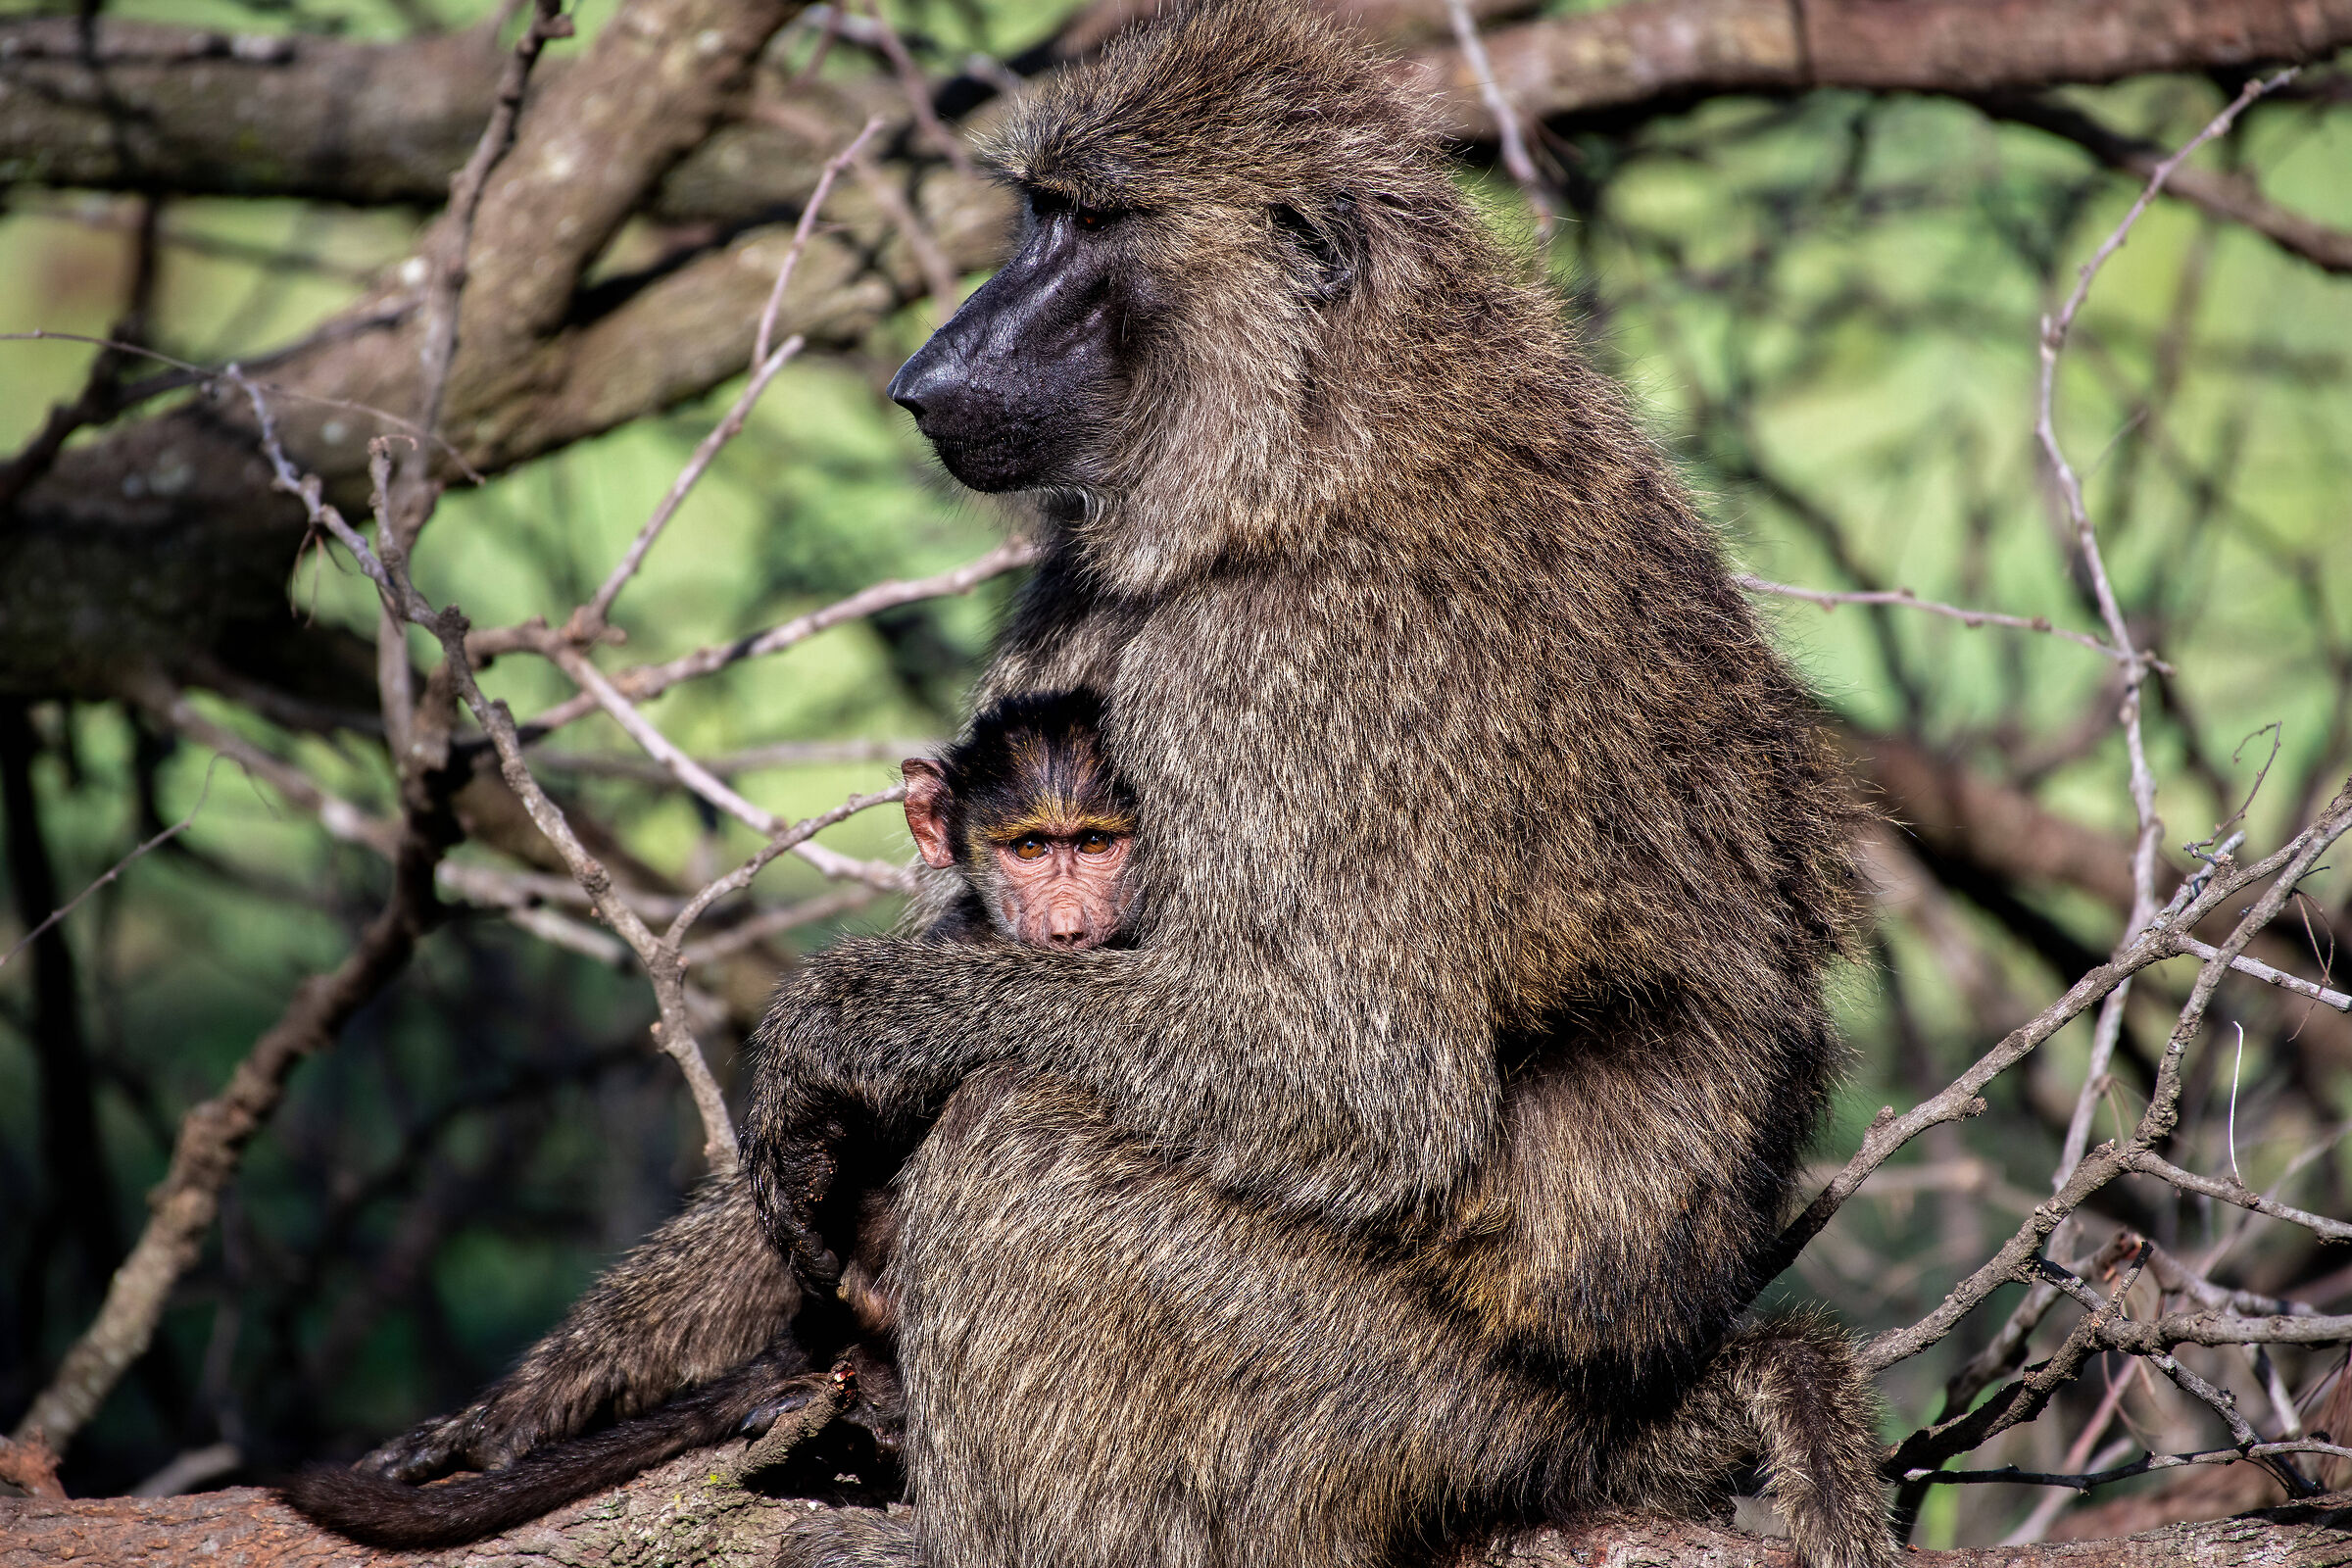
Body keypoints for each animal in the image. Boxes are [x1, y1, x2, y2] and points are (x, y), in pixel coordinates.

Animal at [294, 3, 1896, 1564]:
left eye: (1085, 224)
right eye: (1036, 212)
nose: (925, 377)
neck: (1315, 439)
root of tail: (1634, 1406)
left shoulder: (1292, 671)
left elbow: (1359, 1080)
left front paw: (835, 1022)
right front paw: (533, 1406)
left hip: (1414, 1409)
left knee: (1026, 1156)